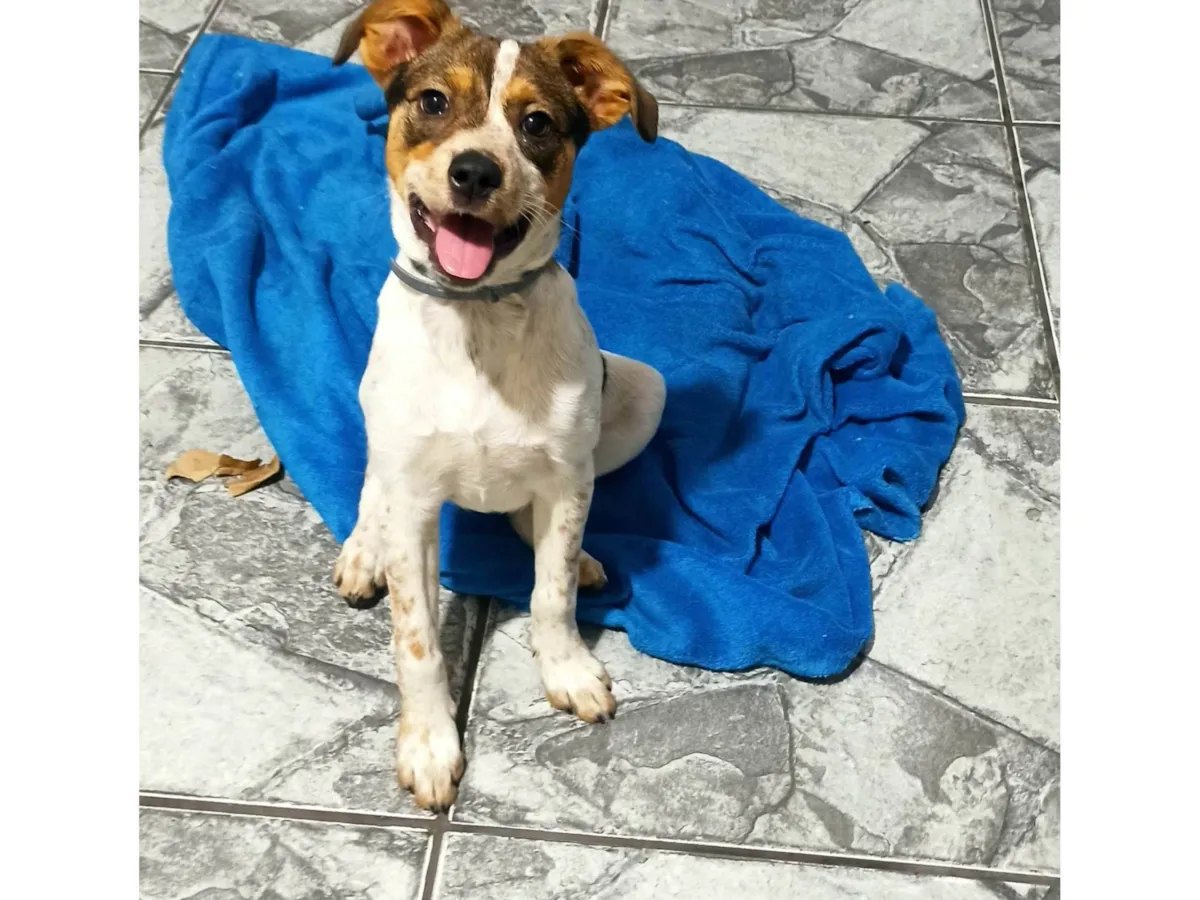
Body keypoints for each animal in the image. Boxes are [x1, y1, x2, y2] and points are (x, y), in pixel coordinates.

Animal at [330, 0, 666, 811]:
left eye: (537, 122)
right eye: (432, 103)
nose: (476, 171)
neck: (477, 319)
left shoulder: (568, 477)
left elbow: (550, 593)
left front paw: (568, 668)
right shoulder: (417, 504)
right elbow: (417, 640)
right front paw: (427, 744)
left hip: (643, 393)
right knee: (373, 479)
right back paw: (362, 549)